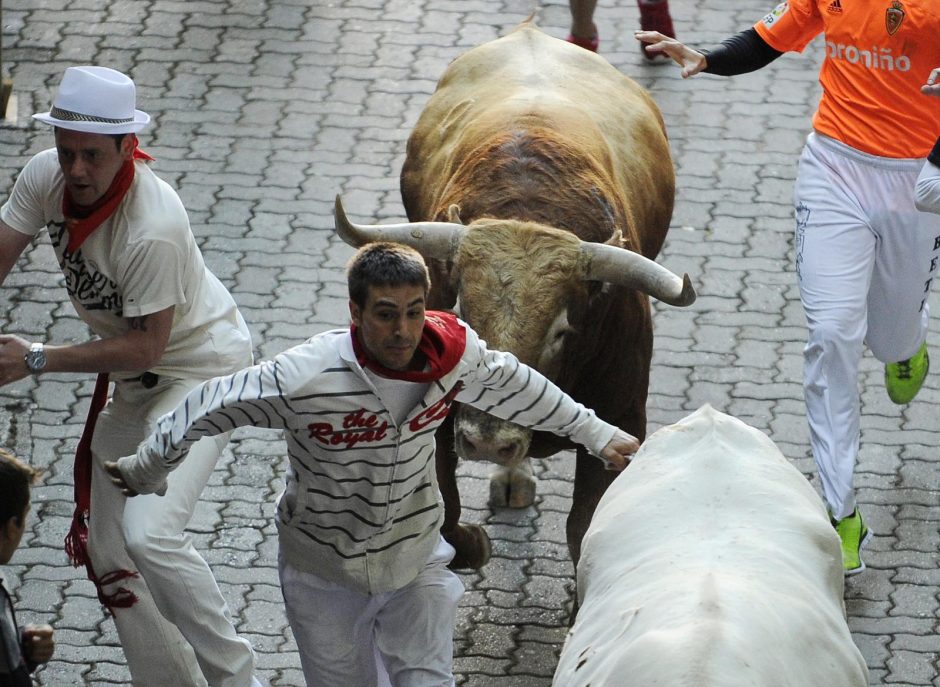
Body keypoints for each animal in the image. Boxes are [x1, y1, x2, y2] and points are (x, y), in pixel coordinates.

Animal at [334, 21, 692, 572]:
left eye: (563, 329)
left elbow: (584, 532)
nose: (487, 442)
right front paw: (474, 541)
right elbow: (445, 520)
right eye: (461, 313)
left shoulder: (623, 420)